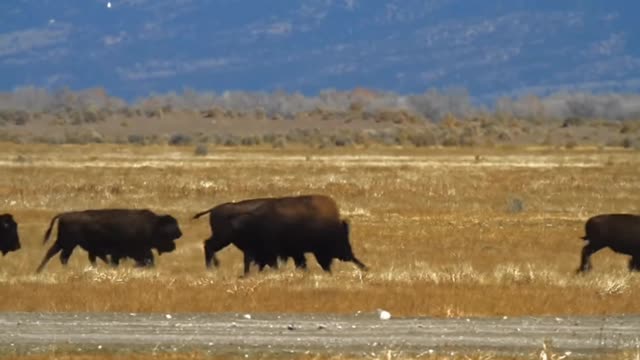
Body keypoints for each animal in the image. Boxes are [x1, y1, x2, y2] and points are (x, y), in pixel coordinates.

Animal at [36, 208, 182, 272]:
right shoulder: (128, 251)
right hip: (68, 243)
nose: (173, 246)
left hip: (64, 243)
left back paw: (39, 270)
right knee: (61, 256)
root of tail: (64, 215)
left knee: (54, 254)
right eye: (167, 233)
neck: (154, 225)